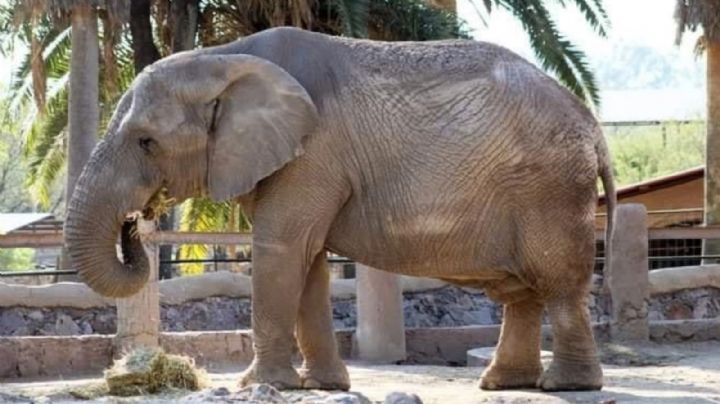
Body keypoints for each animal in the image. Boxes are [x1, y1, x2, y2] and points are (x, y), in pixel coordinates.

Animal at [65, 26, 616, 392]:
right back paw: (503, 383)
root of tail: (592, 125)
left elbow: (282, 250)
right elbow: (306, 262)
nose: (136, 222)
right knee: (522, 292)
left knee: (558, 284)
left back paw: (566, 387)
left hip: (548, 189)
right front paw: (322, 386)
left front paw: (259, 386)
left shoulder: (312, 156)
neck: (222, 57)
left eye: (146, 142)